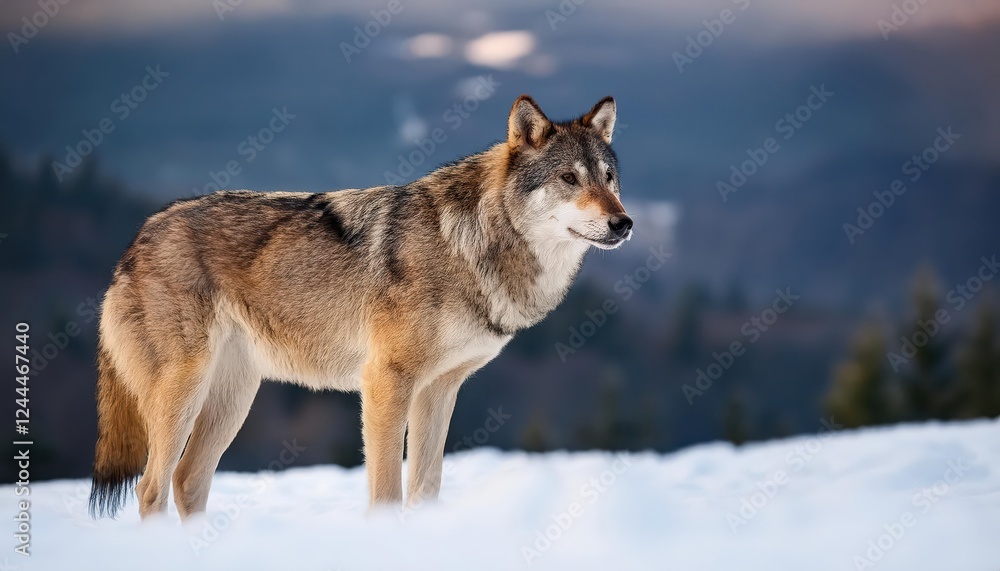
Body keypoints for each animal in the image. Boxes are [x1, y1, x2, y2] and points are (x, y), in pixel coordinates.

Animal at [89, 95, 633, 519]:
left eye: (609, 178)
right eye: (568, 178)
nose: (623, 223)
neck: (468, 244)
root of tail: (134, 241)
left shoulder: (439, 390)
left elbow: (426, 488)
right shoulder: (386, 380)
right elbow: (387, 489)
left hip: (233, 398)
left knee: (187, 481)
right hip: (184, 390)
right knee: (151, 487)